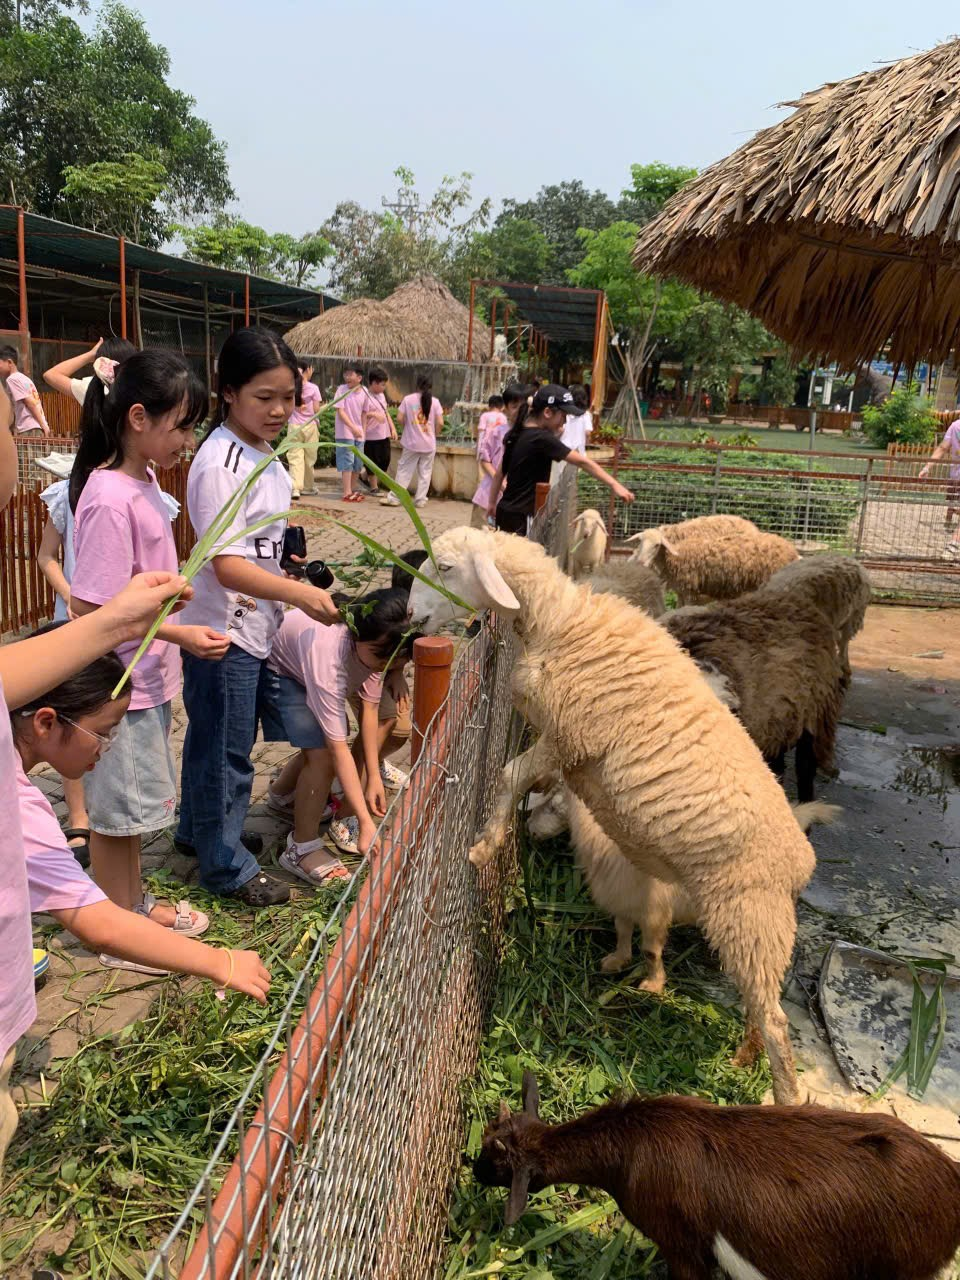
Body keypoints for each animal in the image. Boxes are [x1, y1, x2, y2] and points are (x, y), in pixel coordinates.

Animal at [408, 528, 820, 1104]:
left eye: (444, 567)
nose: (410, 614)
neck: (560, 620)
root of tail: (801, 859)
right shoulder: (563, 746)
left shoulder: (568, 736)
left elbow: (510, 776)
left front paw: (485, 845)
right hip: (758, 924)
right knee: (763, 1006)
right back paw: (744, 1054)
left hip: (750, 914)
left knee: (777, 1020)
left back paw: (783, 1096)